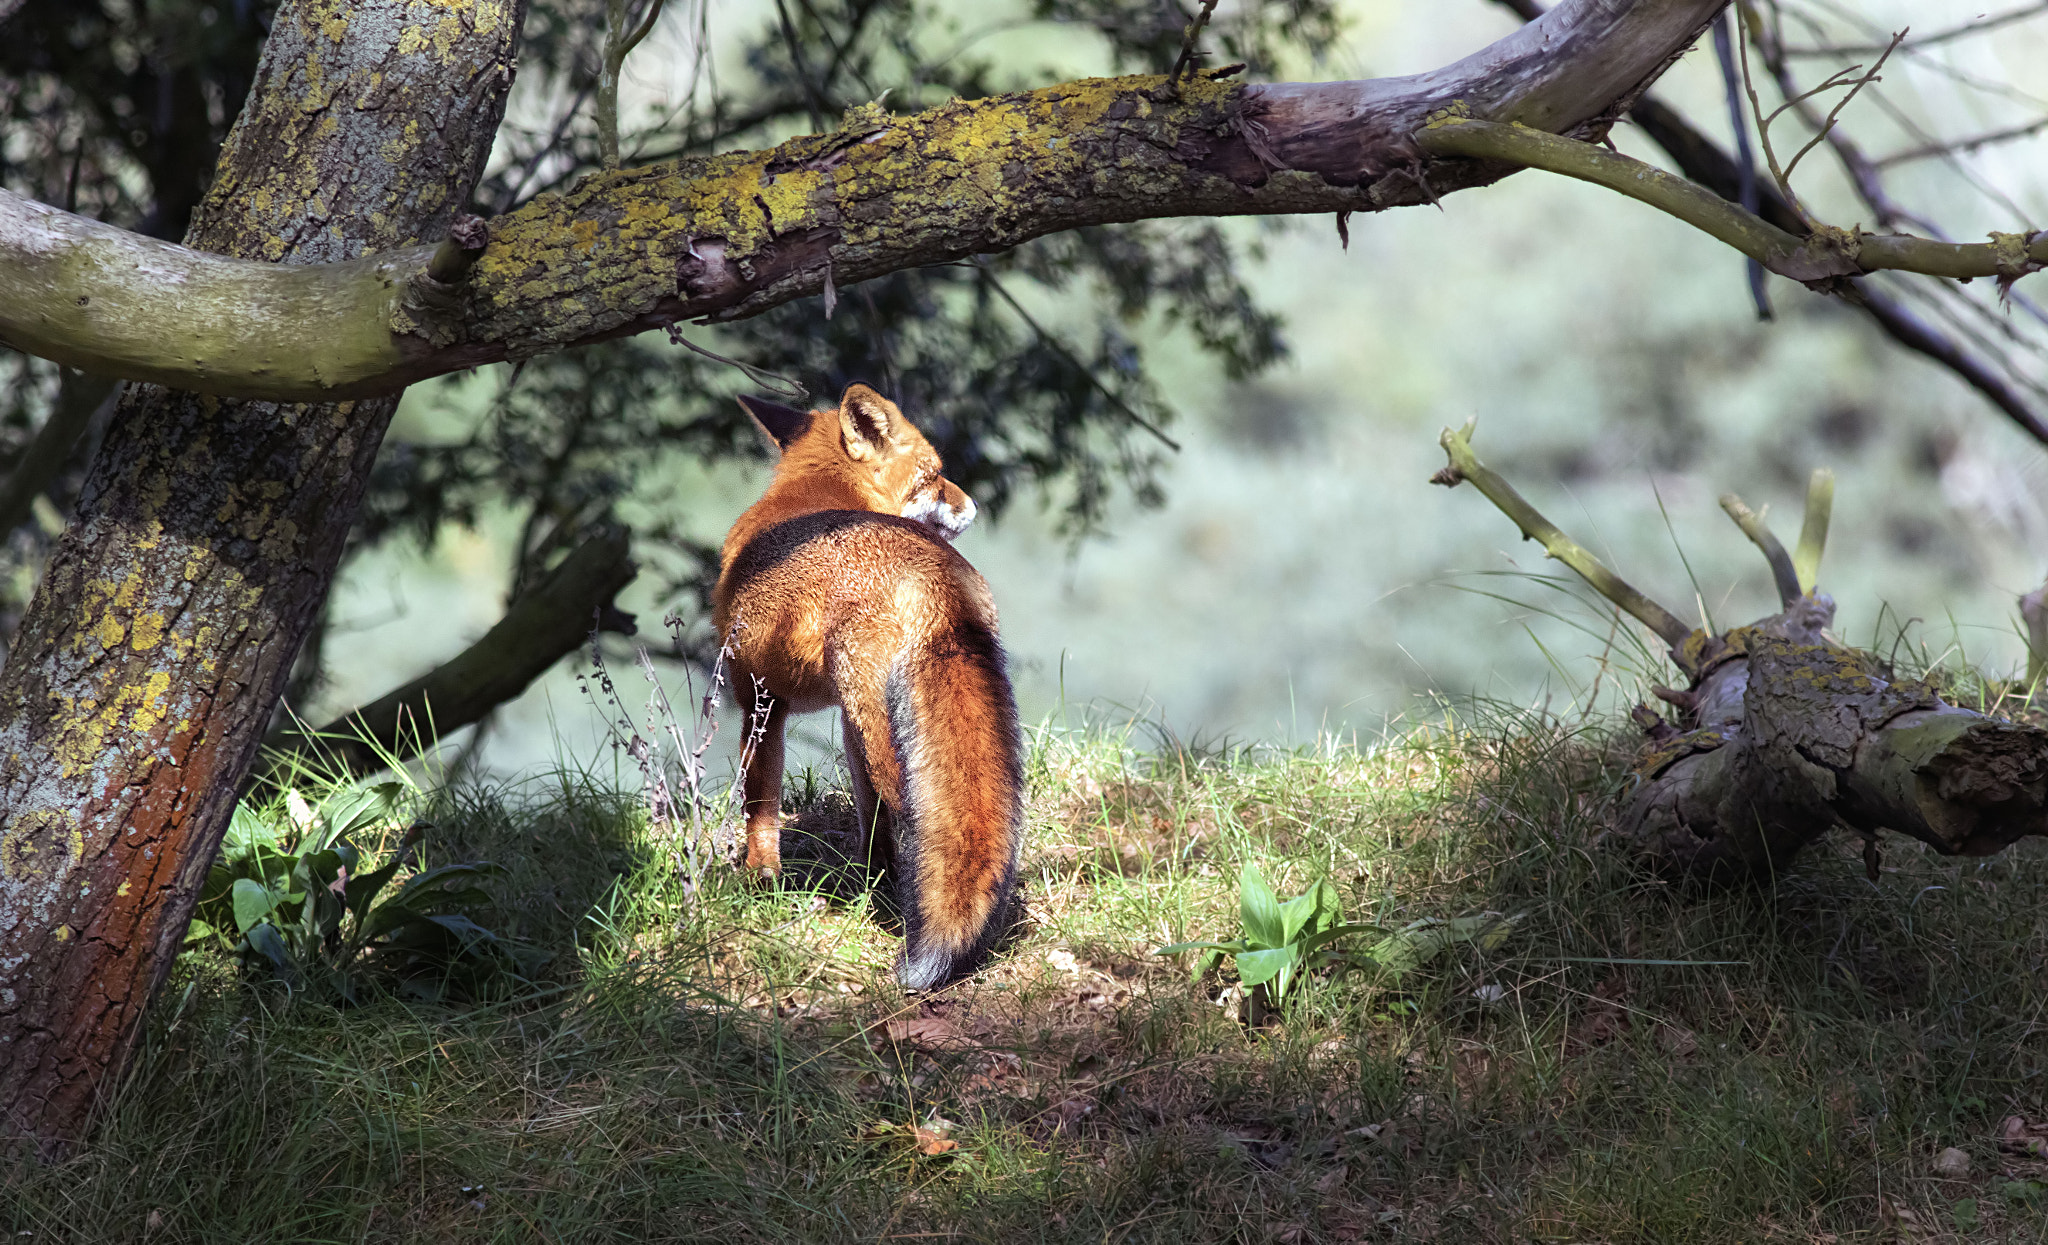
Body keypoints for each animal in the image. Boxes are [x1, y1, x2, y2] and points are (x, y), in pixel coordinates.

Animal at [712, 382, 1025, 990]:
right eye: (935, 475)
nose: (973, 504)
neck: (814, 492)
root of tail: (929, 574)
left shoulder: (761, 699)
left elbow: (760, 809)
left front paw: (760, 884)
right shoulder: (842, 712)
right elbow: (867, 818)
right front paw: (870, 880)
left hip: (878, 727)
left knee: (914, 816)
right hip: (879, 714)